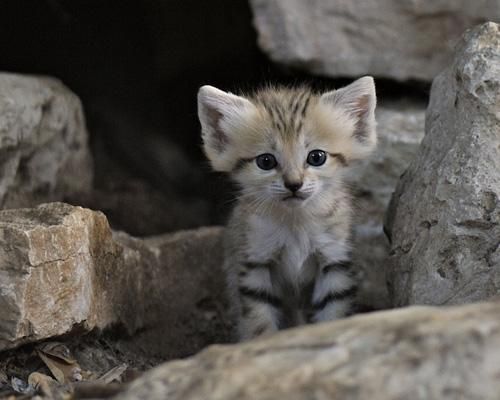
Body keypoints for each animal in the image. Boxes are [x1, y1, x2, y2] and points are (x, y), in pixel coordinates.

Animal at [196, 76, 376, 340]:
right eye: (265, 161)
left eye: (317, 157)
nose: (294, 184)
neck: (296, 222)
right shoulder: (255, 263)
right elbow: (259, 321)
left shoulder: (335, 262)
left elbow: (333, 313)